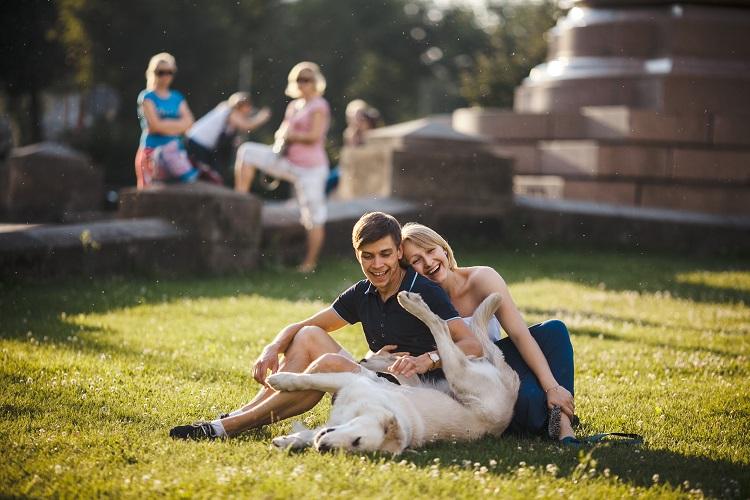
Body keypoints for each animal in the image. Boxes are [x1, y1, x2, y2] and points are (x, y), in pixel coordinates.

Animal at [268, 292, 520, 456]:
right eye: (357, 440)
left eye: (355, 446)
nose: (323, 448)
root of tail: (512, 383)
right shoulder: (349, 381)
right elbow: (306, 379)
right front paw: (279, 380)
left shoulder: (349, 385)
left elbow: (310, 431)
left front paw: (290, 441)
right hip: (454, 376)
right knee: (439, 325)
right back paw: (409, 306)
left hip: (457, 375)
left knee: (435, 333)